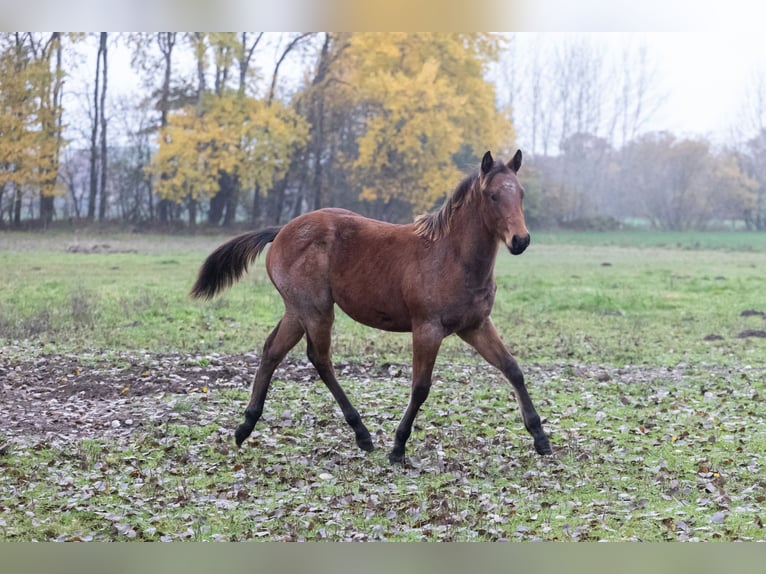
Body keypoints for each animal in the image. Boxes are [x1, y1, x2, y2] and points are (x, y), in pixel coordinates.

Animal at [190, 150, 551, 464]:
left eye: (520, 194)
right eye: (493, 196)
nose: (520, 240)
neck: (451, 256)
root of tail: (281, 231)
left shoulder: (475, 326)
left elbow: (512, 369)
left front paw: (540, 437)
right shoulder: (427, 328)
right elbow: (420, 387)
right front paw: (398, 446)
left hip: (297, 311)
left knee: (272, 351)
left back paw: (245, 426)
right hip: (316, 310)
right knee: (319, 359)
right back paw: (361, 433)